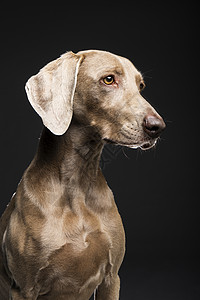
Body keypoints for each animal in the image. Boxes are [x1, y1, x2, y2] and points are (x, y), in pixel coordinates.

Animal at [0, 50, 166, 298]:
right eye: (109, 79)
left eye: (141, 86)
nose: (157, 127)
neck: (77, 180)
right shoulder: (23, 288)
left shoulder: (111, 278)